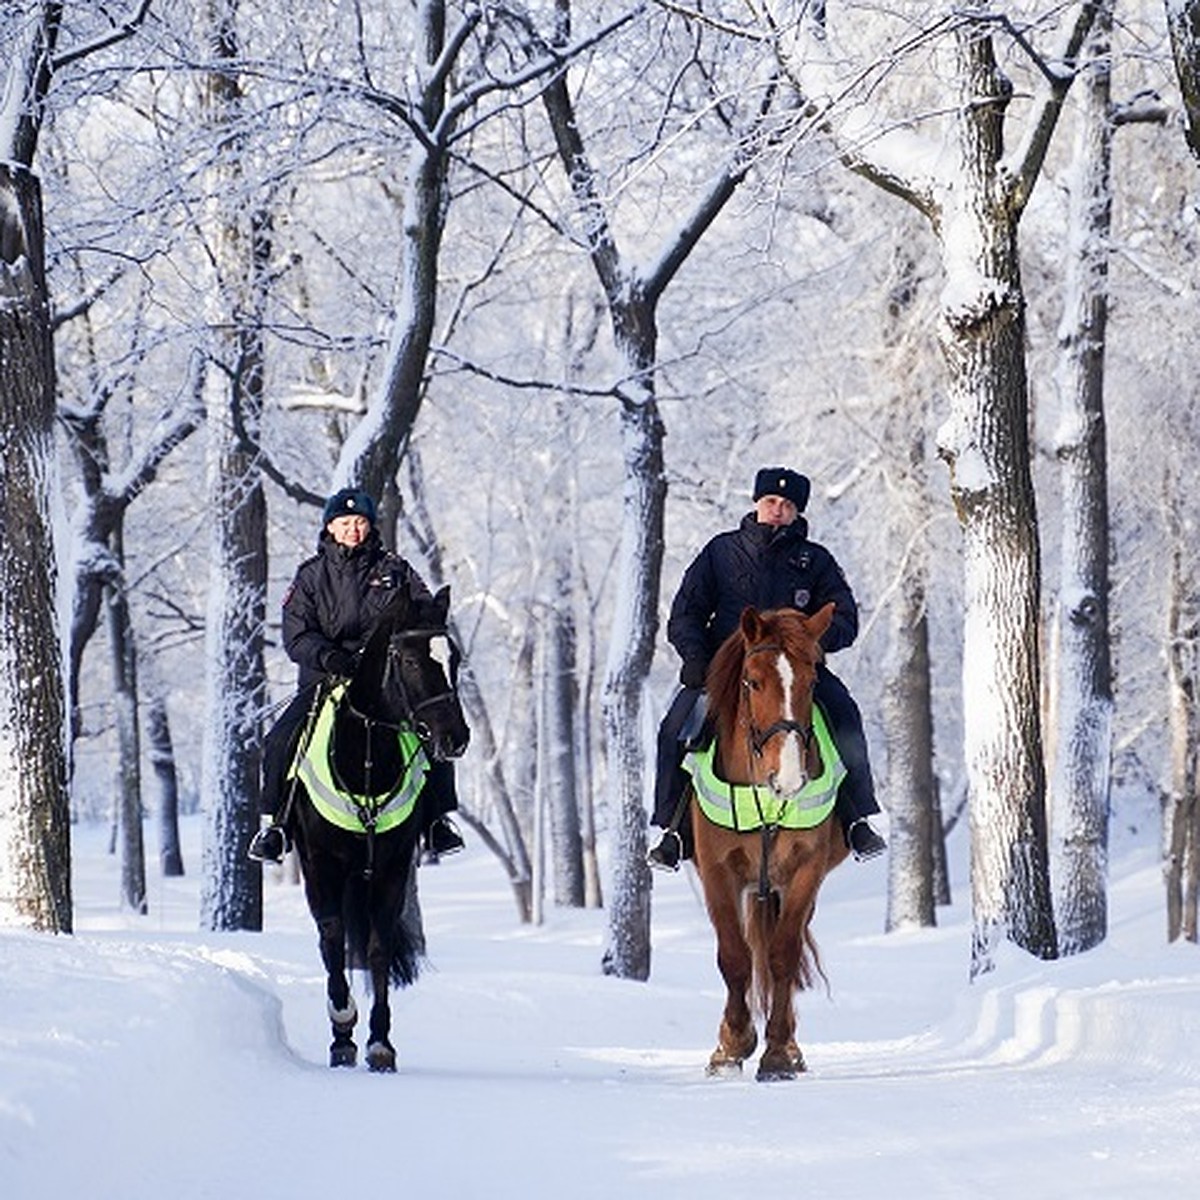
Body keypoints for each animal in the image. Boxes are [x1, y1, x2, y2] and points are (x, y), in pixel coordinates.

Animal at [288, 580, 470, 1070]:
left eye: (454, 659)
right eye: (409, 660)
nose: (457, 738)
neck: (365, 761)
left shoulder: (392, 867)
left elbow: (378, 948)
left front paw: (380, 1042)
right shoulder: (321, 865)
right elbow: (332, 939)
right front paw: (342, 1028)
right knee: (328, 941)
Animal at [686, 604, 854, 1084]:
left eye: (812, 679)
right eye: (753, 681)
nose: (790, 778)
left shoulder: (805, 872)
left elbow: (782, 956)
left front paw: (778, 1053)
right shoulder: (718, 874)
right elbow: (734, 956)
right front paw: (731, 1046)